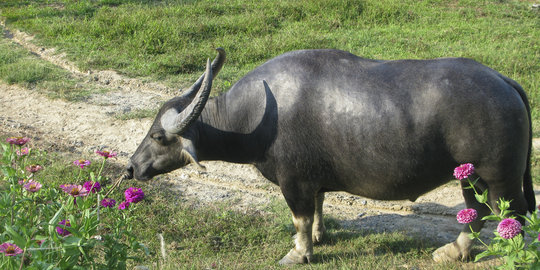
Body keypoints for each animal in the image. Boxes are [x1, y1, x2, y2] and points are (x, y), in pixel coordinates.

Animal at [127, 48, 536, 264]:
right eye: (150, 129)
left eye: (158, 136)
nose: (132, 166)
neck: (256, 116)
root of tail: (504, 82)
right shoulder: (313, 181)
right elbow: (319, 208)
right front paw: (320, 237)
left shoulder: (293, 182)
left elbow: (300, 218)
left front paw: (299, 252)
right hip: (468, 175)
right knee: (478, 212)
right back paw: (454, 251)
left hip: (494, 177)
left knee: (506, 215)